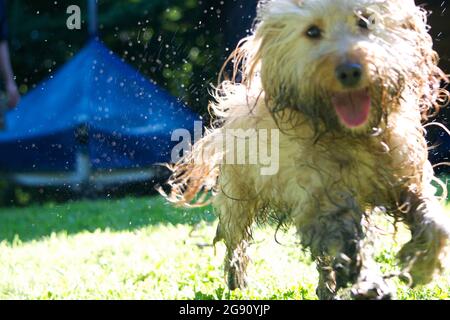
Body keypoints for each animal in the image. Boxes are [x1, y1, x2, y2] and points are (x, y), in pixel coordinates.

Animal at [160, 0, 448, 300]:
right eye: (312, 31)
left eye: (365, 20)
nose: (349, 71)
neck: (350, 134)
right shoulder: (323, 203)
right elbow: (348, 246)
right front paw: (369, 283)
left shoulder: (404, 179)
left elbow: (435, 222)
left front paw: (425, 263)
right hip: (238, 198)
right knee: (236, 242)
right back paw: (237, 281)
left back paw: (326, 287)